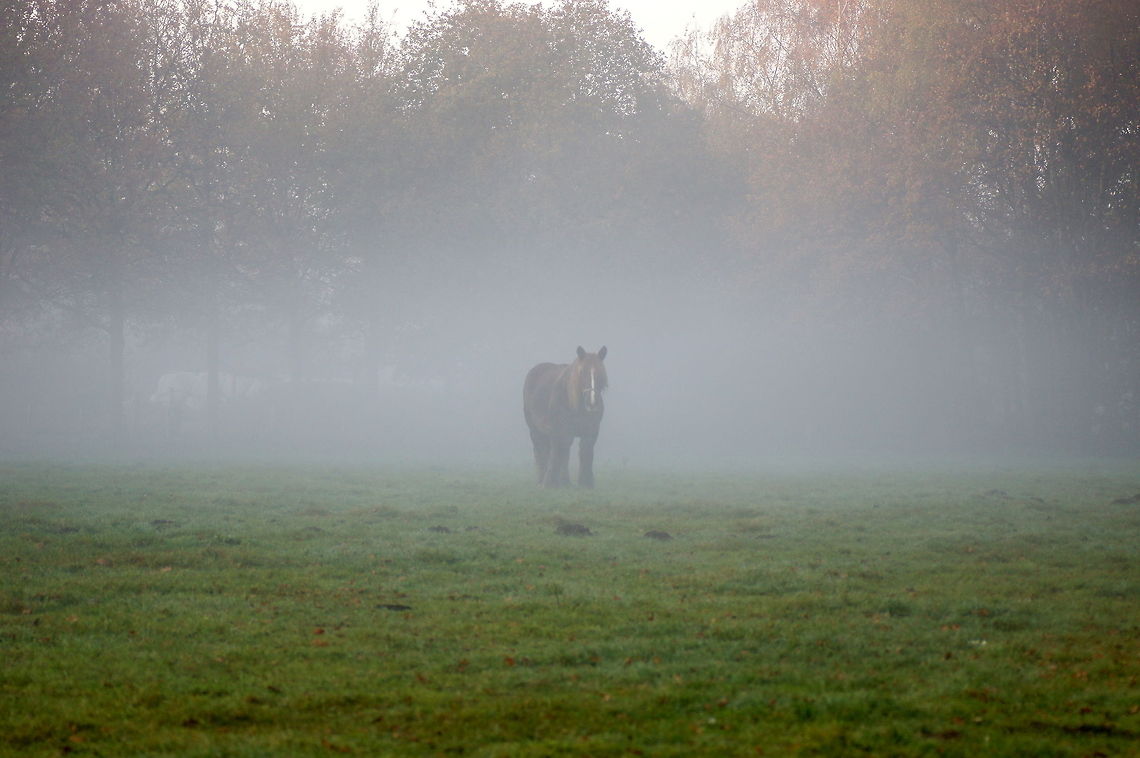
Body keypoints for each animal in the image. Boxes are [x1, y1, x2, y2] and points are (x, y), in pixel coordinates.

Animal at [523, 346, 608, 488]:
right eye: (581, 372)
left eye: (601, 373)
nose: (592, 403)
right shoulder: (560, 431)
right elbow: (559, 453)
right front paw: (552, 483)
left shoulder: (591, 431)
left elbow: (586, 452)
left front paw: (586, 483)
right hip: (536, 430)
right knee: (542, 451)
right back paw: (542, 479)